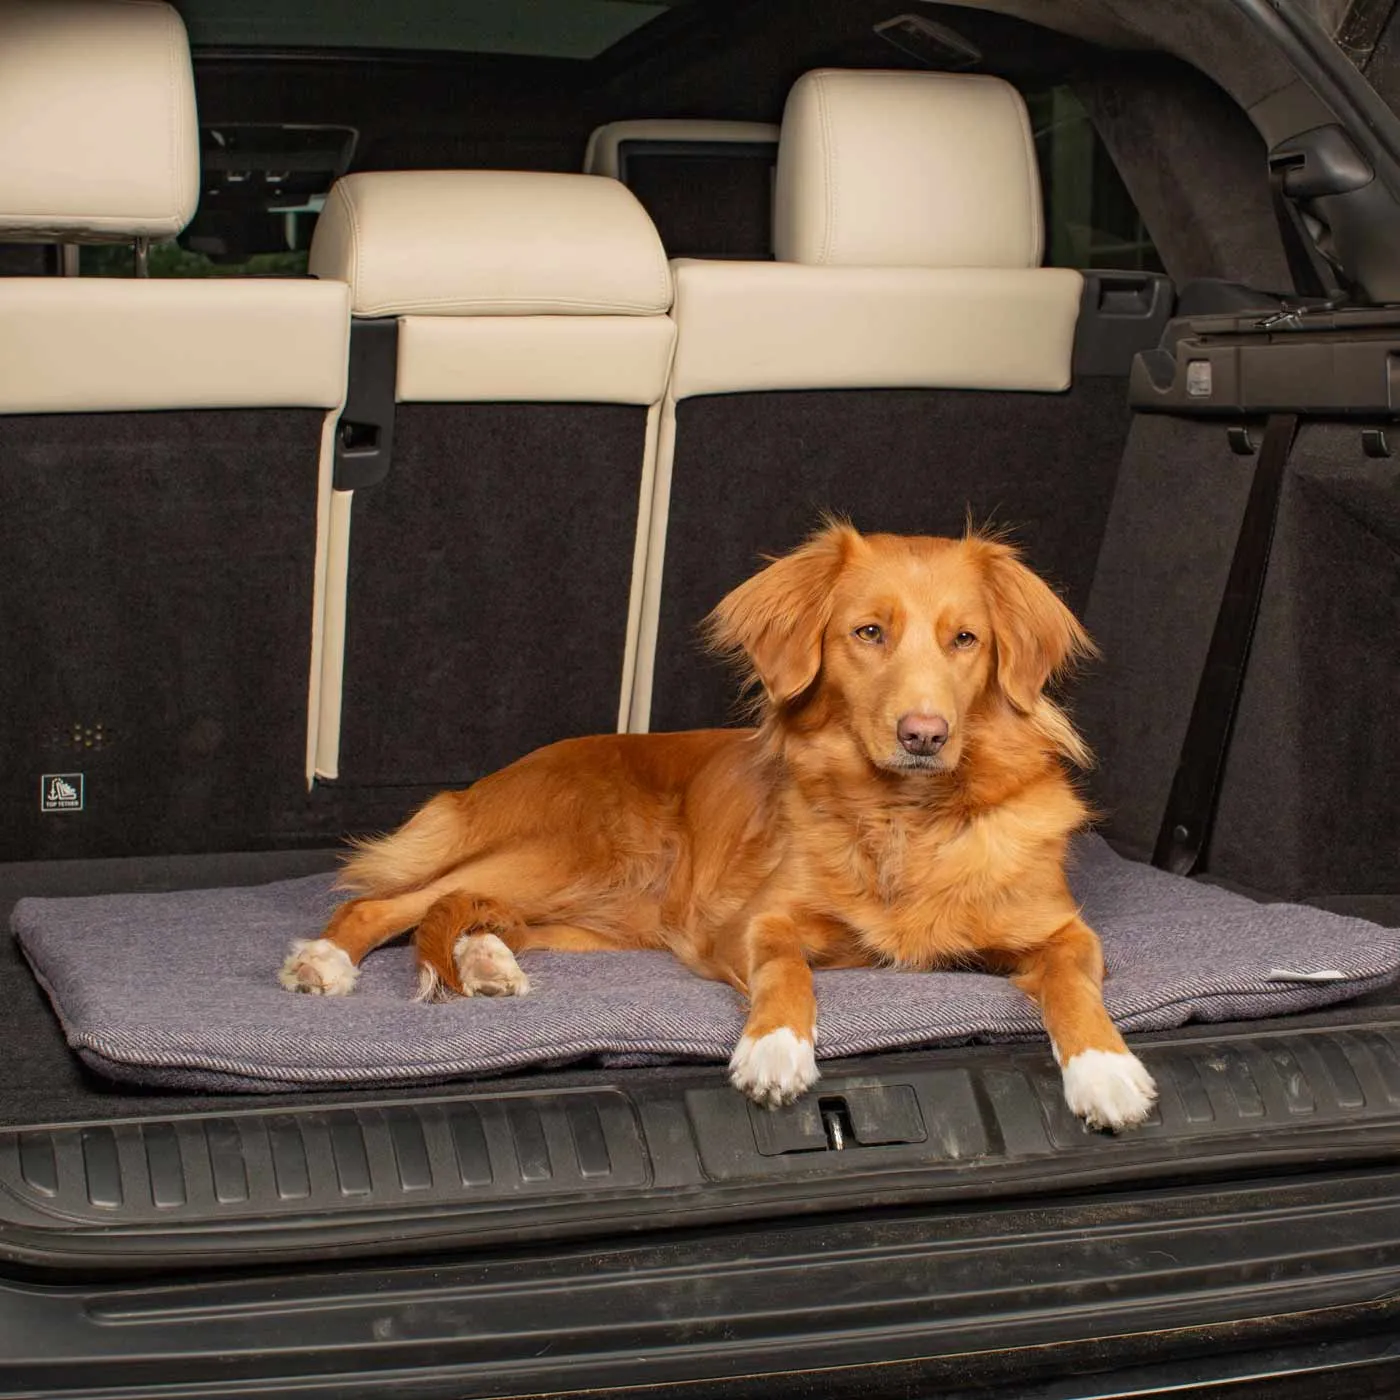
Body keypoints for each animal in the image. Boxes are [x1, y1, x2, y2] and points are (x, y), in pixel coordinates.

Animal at [278, 526, 1153, 1125]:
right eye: (868, 632)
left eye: (965, 639)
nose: (924, 734)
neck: (905, 817)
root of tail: (488, 781)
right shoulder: (753, 921)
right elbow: (787, 969)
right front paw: (775, 1047)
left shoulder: (1066, 931)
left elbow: (1072, 983)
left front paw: (1106, 1068)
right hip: (573, 853)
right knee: (396, 900)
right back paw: (326, 959)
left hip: (613, 909)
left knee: (472, 913)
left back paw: (486, 959)